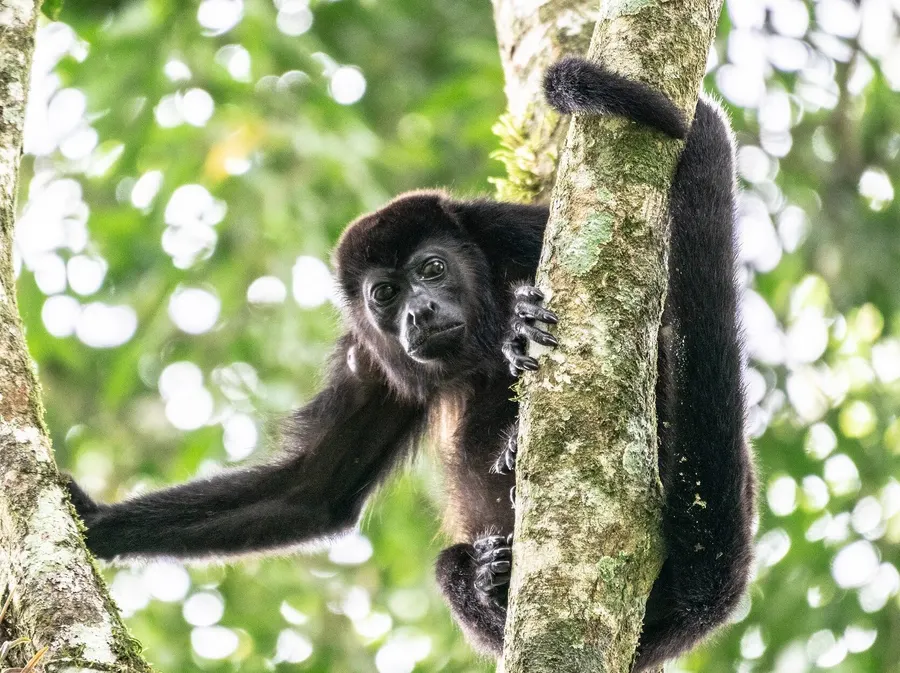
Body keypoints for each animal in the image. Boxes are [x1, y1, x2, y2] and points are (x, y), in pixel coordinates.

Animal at [66, 56, 755, 671]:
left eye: (431, 269)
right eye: (385, 294)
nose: (418, 312)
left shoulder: (511, 229)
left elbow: (651, 315)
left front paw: (519, 330)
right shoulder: (372, 360)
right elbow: (314, 490)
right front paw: (95, 522)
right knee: (448, 566)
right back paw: (488, 578)